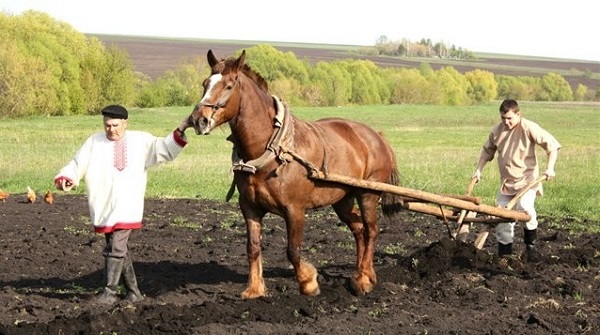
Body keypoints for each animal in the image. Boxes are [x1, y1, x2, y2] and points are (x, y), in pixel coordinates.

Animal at [188, 49, 404, 300]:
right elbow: (253, 247)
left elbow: (292, 250)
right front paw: (254, 289)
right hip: (342, 199)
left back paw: (365, 279)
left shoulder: (295, 210)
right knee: (359, 230)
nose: (199, 119)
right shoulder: (250, 207)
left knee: (371, 231)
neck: (272, 150)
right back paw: (358, 274)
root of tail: (377, 136)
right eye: (205, 83)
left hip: (368, 193)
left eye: (229, 86)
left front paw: (308, 282)